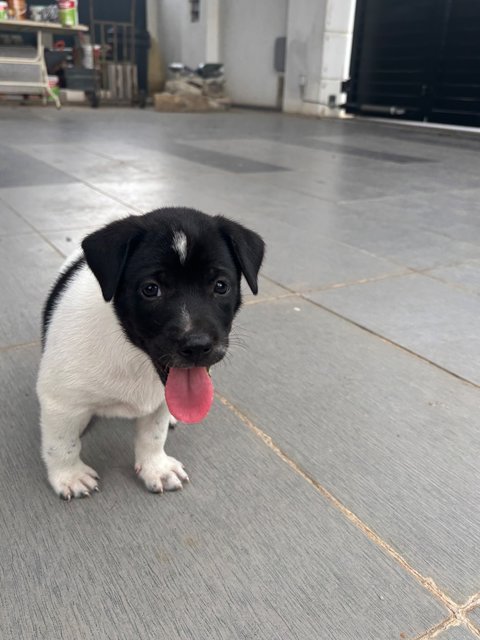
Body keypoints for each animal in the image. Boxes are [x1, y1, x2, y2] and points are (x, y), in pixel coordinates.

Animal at [36, 209, 264, 500]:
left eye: (221, 286)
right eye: (150, 289)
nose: (197, 346)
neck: (134, 355)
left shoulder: (160, 401)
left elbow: (153, 435)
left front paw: (155, 467)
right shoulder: (58, 400)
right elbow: (62, 443)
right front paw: (69, 475)